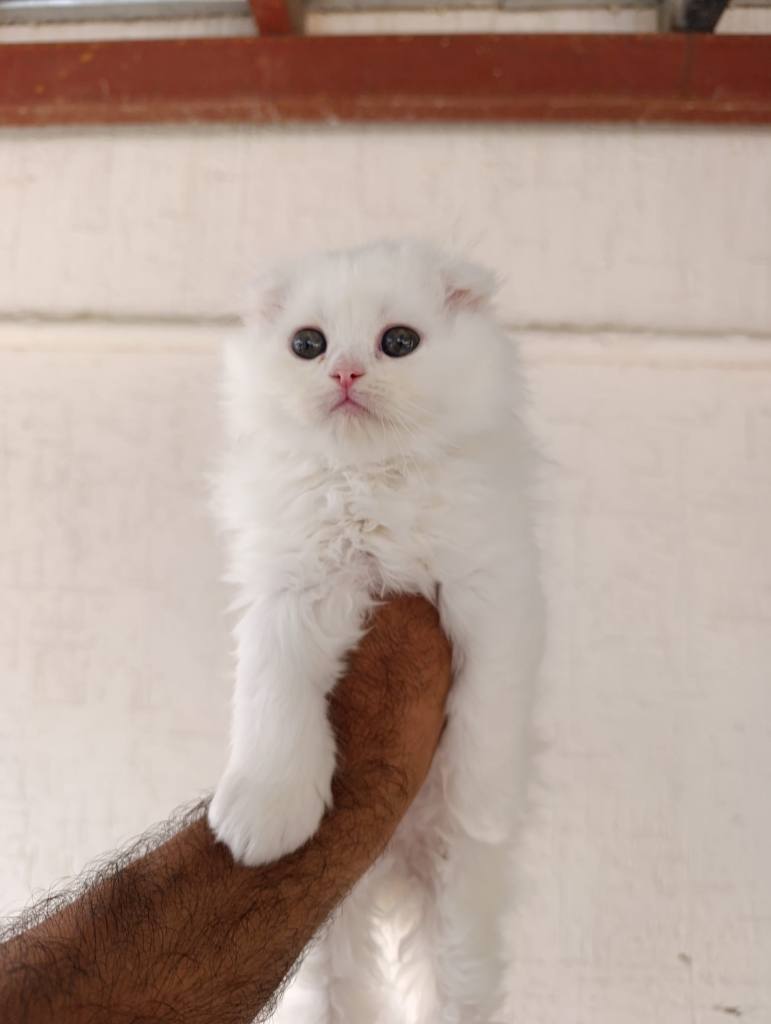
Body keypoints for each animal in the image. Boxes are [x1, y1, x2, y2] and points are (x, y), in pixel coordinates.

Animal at [208, 239, 544, 1023]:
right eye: (308, 344)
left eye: (398, 343)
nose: (345, 372)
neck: (371, 482)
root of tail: (388, 865)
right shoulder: (286, 598)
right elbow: (273, 709)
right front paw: (264, 821)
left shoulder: (491, 594)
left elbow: (488, 716)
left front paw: (487, 807)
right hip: (325, 949)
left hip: (459, 925)